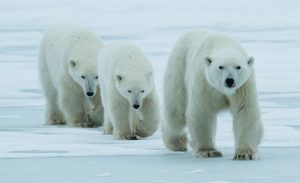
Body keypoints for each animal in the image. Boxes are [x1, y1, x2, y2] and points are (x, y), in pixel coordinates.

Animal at [163, 30, 264, 159]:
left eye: (238, 67)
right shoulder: (204, 82)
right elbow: (202, 111)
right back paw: (177, 143)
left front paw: (244, 153)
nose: (229, 80)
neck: (224, 44)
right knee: (176, 111)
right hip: (179, 69)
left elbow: (245, 111)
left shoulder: (243, 87)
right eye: (220, 67)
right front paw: (208, 151)